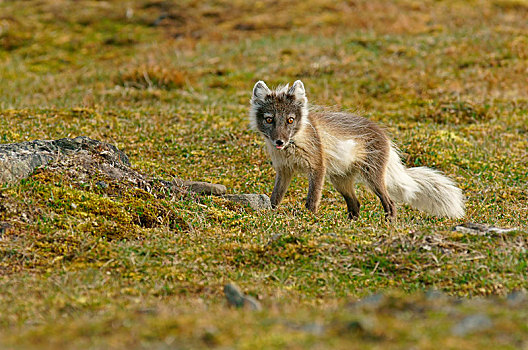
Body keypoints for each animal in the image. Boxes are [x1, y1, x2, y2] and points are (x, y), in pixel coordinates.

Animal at [250, 80, 464, 220]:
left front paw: (309, 219)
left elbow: (312, 198)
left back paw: (389, 224)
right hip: (340, 180)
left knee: (390, 203)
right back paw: (351, 223)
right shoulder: (284, 170)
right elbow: (276, 196)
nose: (279, 141)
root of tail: (383, 135)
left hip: (373, 177)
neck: (293, 145)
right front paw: (271, 212)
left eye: (290, 120)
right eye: (269, 119)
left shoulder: (318, 167)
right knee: (356, 203)